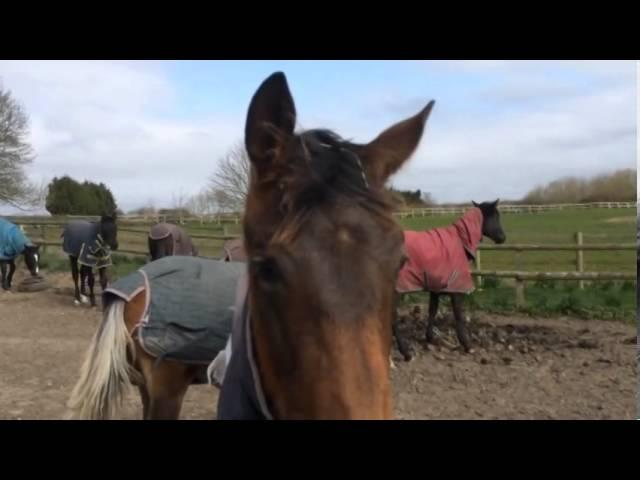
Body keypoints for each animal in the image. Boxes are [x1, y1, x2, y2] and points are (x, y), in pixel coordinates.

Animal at [392, 200, 508, 360]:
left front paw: (430, 338)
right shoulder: (455, 288)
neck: (459, 242)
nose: (502, 238)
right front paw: (467, 345)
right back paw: (406, 353)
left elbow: (432, 310)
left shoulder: (436, 285)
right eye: (495, 216)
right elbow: (458, 315)